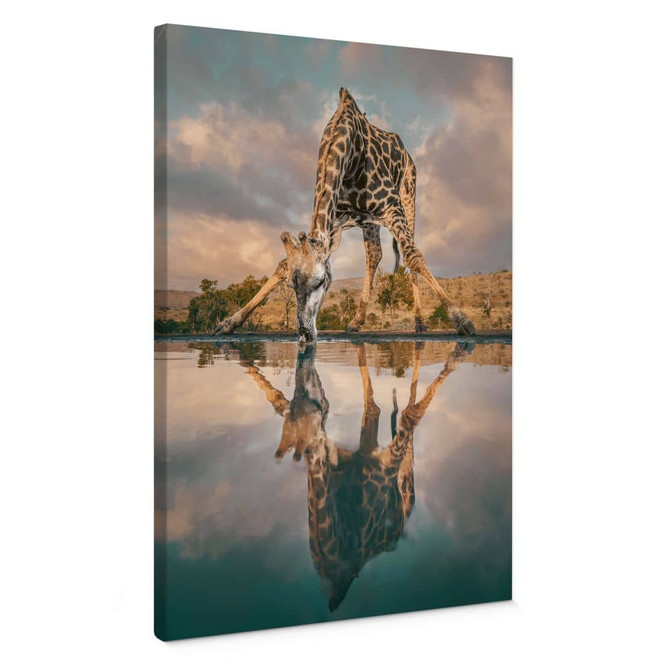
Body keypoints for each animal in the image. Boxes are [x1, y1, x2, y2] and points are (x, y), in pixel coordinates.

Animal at [213, 88, 475, 342]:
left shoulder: (392, 206)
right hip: (369, 221)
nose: (305, 334)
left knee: (407, 250)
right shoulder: (334, 220)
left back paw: (419, 322)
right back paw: (356, 321)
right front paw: (228, 323)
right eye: (291, 285)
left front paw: (462, 321)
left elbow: (413, 255)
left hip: (408, 197)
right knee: (374, 255)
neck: (350, 154)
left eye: (321, 281)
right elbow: (283, 264)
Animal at [240, 341, 472, 610]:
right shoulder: (366, 451)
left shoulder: (383, 462)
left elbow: (405, 413)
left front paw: (456, 355)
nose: (309, 376)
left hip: (403, 474)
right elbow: (376, 404)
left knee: (407, 419)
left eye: (316, 403)